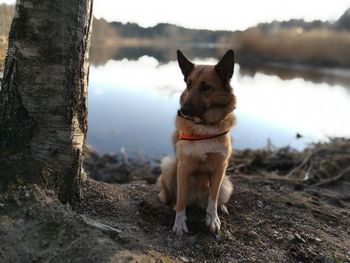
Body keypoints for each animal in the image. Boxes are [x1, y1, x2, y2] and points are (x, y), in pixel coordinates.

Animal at [158, 49, 235, 237]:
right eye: (189, 84)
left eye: (206, 87)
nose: (182, 111)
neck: (204, 127)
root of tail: (197, 200)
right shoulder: (184, 166)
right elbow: (181, 201)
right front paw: (179, 223)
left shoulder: (220, 167)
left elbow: (213, 198)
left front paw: (213, 219)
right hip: (169, 165)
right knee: (174, 197)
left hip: (226, 183)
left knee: (215, 198)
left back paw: (221, 207)